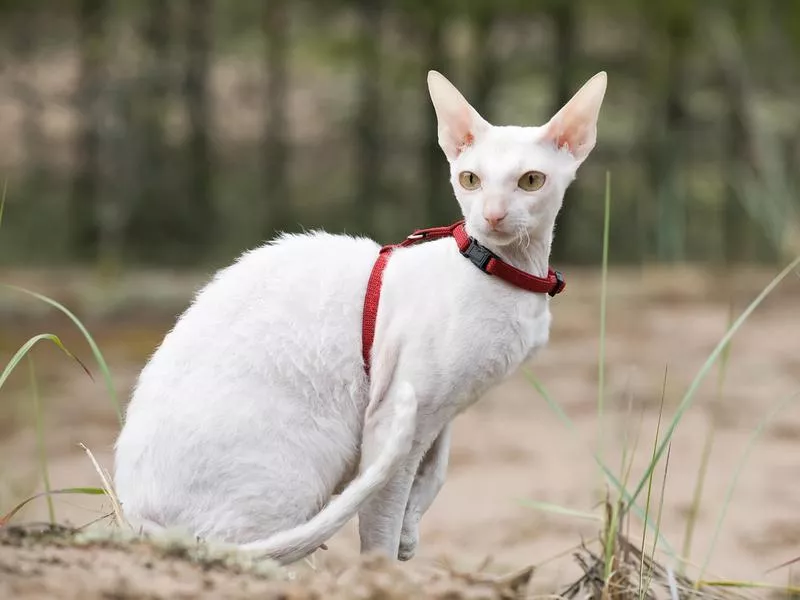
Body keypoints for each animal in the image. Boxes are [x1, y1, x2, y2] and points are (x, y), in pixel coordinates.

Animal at [112, 69, 608, 564]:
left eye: (531, 181)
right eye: (470, 179)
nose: (492, 216)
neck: (505, 271)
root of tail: (136, 513)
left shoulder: (443, 410)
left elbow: (436, 471)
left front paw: (410, 535)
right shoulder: (395, 414)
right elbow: (381, 522)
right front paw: (383, 569)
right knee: (252, 551)